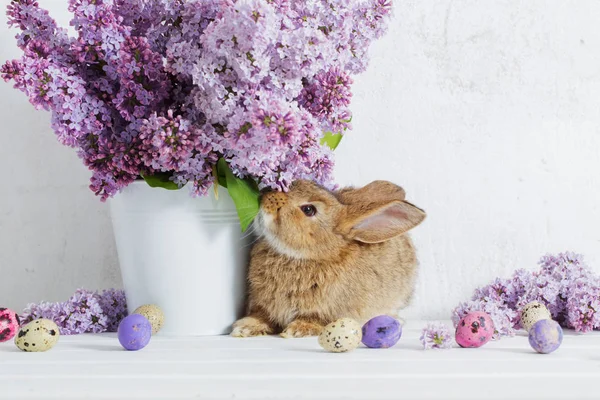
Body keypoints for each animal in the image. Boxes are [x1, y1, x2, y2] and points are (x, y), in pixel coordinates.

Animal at [231, 180, 426, 340]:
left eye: (309, 209)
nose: (265, 194)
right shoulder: (263, 305)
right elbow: (261, 316)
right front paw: (244, 327)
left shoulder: (328, 311)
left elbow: (316, 320)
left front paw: (298, 329)